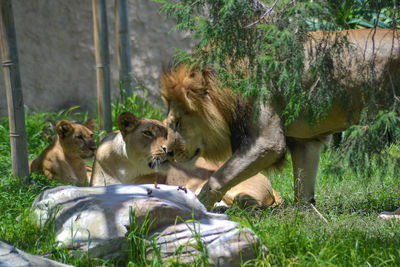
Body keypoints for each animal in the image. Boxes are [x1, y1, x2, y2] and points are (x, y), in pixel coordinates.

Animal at [160, 27, 400, 211]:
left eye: (177, 123)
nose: (168, 152)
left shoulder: (268, 142)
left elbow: (217, 180)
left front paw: (196, 209)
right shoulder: (306, 141)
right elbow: (303, 190)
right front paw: (304, 217)